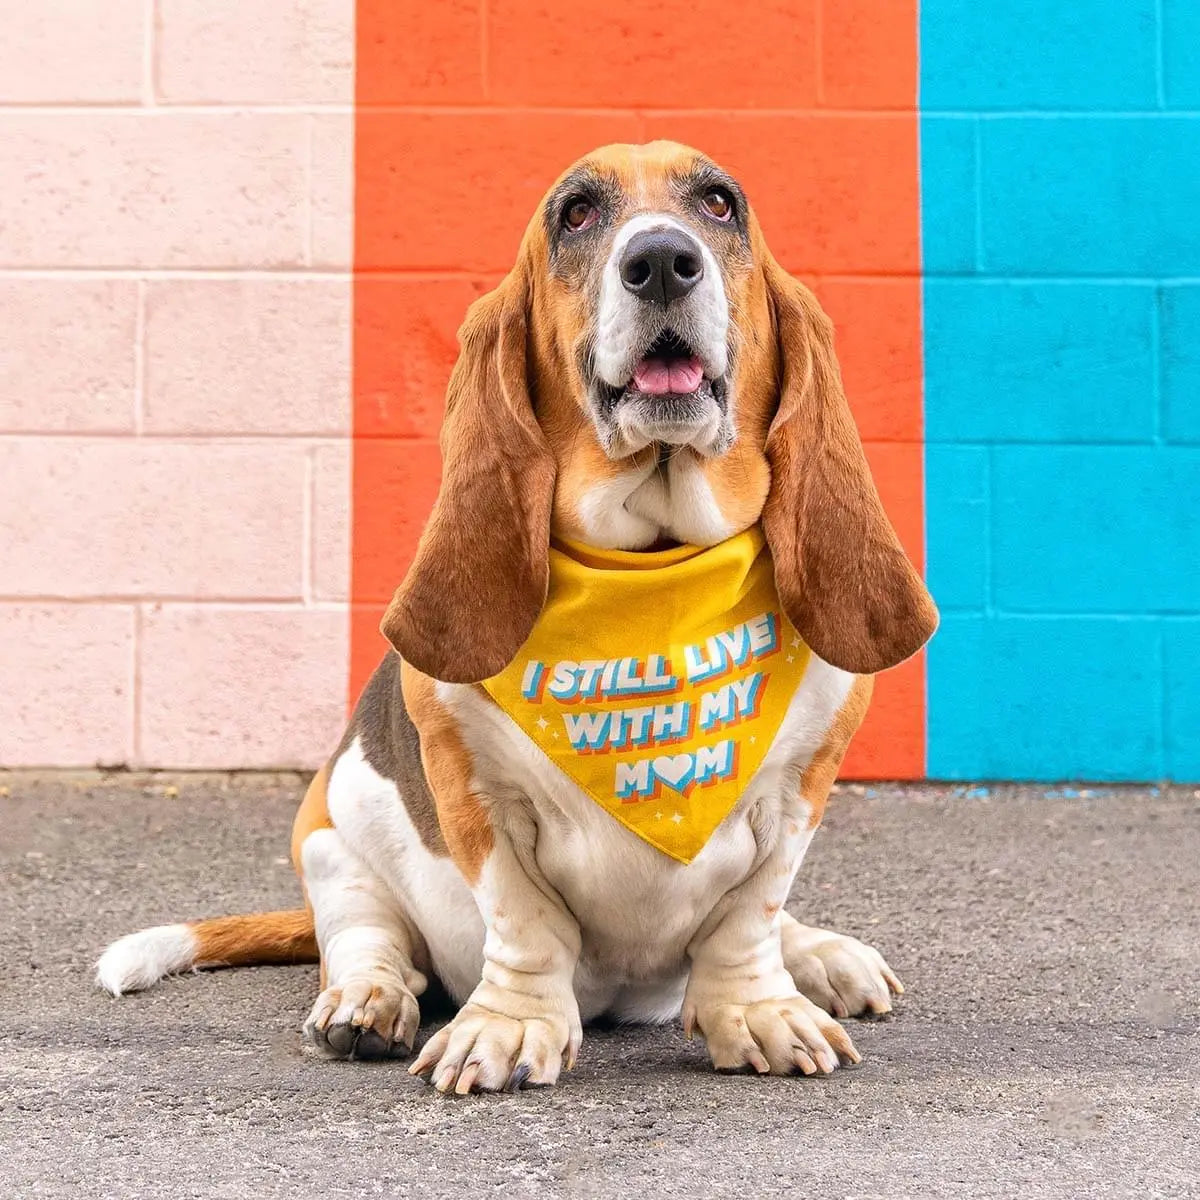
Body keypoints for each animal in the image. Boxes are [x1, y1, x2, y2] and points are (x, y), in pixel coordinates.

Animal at [96, 142, 936, 1099]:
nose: (660, 261)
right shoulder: (473, 796)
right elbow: (526, 922)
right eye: (575, 214)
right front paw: (506, 1027)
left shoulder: (799, 791)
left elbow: (748, 917)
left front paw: (757, 1010)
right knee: (365, 940)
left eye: (720, 203)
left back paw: (826, 957)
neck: (653, 567)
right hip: (331, 838)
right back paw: (365, 1005)